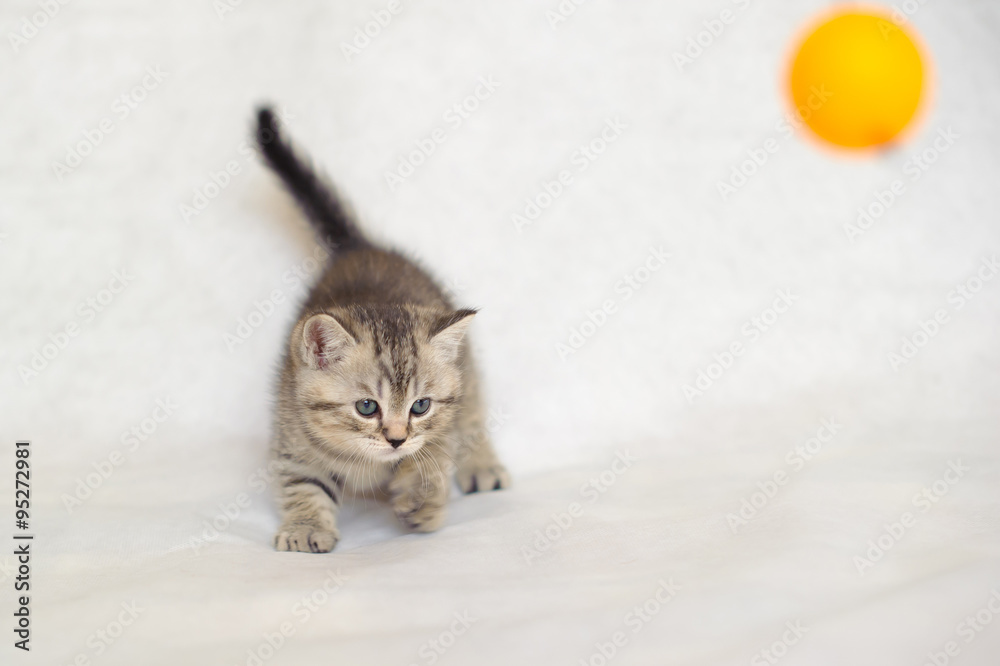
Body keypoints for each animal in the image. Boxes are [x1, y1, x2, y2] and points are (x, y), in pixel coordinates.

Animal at [254, 105, 512, 548]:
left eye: (420, 406)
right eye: (366, 407)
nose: (396, 438)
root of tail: (358, 246)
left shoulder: (441, 426)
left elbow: (432, 456)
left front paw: (422, 501)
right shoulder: (293, 432)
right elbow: (303, 483)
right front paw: (306, 528)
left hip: (468, 373)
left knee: (473, 415)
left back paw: (482, 466)